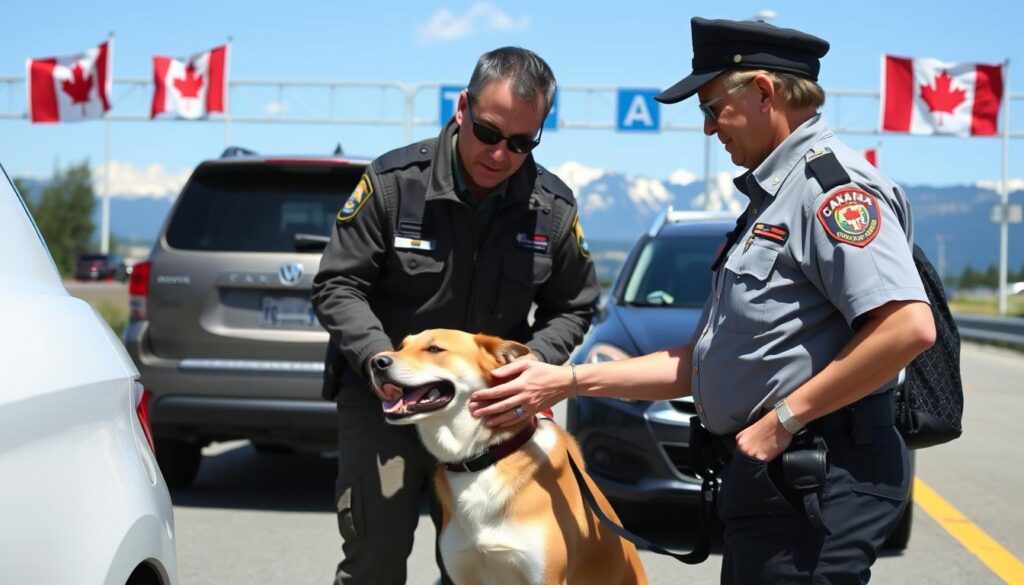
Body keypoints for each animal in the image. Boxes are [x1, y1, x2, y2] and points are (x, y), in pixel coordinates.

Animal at [370, 329, 647, 585]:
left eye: (435, 349)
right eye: (400, 346)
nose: (376, 362)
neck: (484, 458)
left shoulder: (544, 576)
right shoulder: (463, 571)